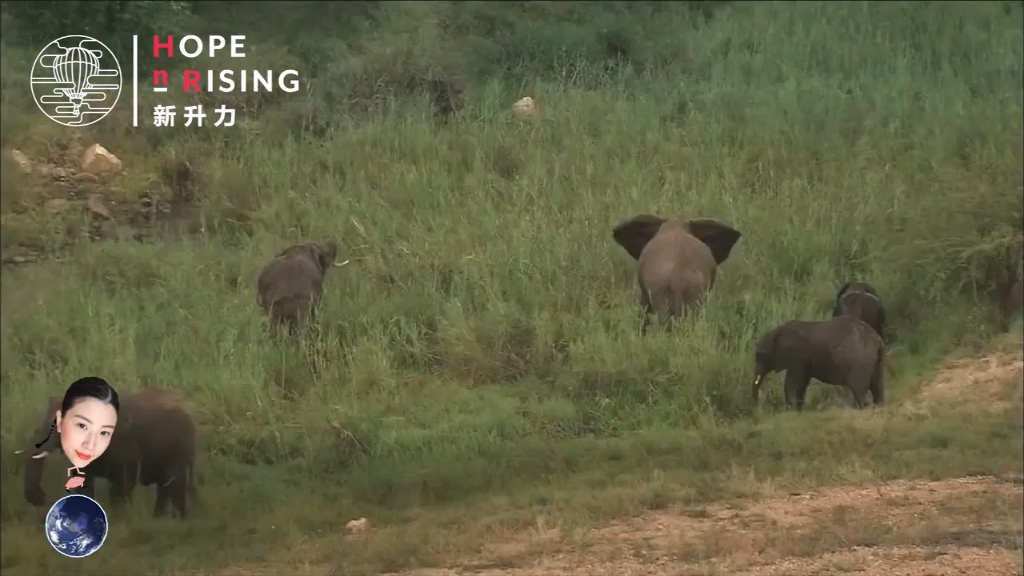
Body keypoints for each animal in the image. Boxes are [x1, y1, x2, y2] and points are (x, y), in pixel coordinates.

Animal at [19, 385, 199, 516]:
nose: (44, 498)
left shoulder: (124, 446)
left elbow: (123, 484)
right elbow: (84, 482)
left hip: (180, 447)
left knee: (174, 484)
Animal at [749, 311, 884, 409]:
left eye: (761, 355)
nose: (757, 406)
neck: (777, 332)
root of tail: (877, 339)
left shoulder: (796, 356)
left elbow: (792, 383)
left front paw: (790, 410)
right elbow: (802, 384)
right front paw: (797, 410)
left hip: (861, 364)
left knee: (859, 390)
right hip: (877, 362)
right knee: (877, 387)